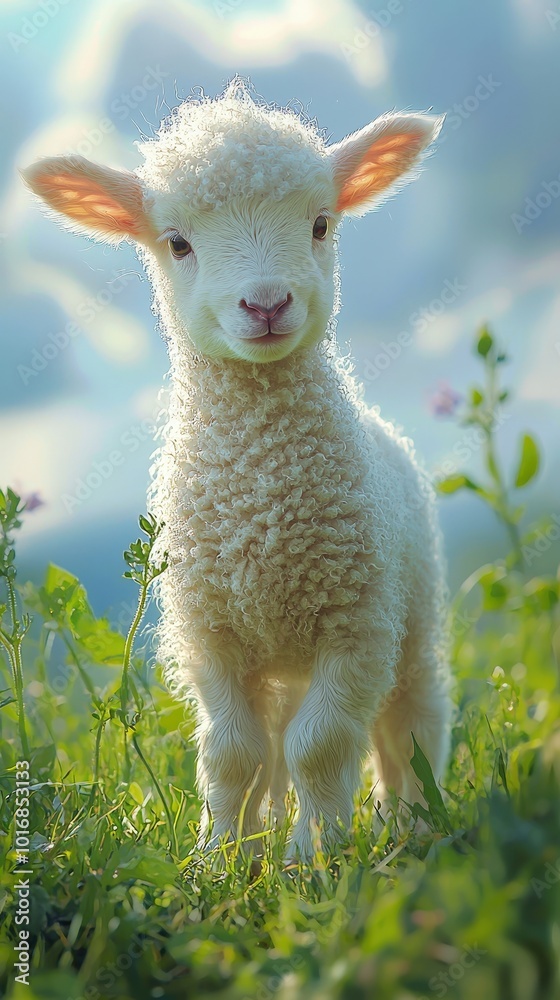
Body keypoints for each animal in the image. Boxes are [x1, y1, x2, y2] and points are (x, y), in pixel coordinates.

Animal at [23, 79, 451, 863]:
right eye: (177, 242)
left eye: (320, 224)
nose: (266, 303)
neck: (263, 502)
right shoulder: (211, 636)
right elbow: (231, 752)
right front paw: (220, 858)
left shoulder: (357, 624)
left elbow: (322, 745)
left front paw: (315, 859)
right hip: (273, 657)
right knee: (275, 739)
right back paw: (267, 831)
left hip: (413, 611)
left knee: (411, 720)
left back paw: (412, 820)